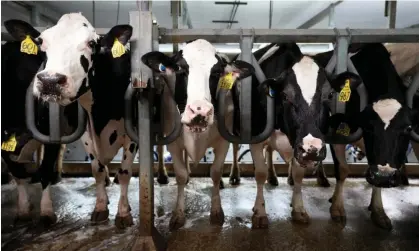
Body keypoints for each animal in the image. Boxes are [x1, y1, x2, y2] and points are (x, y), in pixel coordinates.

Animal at [19, 13, 135, 229]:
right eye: (41, 41)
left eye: (91, 43)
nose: (50, 80)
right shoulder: (87, 134)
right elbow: (97, 170)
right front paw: (100, 207)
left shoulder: (133, 135)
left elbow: (124, 172)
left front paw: (123, 213)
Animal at [141, 38, 254, 229]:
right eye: (180, 69)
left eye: (216, 72)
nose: (200, 111)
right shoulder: (174, 143)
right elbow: (180, 174)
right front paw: (178, 215)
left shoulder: (223, 141)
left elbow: (215, 171)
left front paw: (216, 213)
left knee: (236, 147)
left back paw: (233, 177)